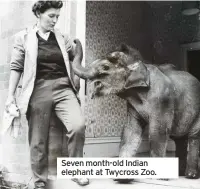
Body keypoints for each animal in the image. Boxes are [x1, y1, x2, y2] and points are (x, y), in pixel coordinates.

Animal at [72, 40, 200, 179]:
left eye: (105, 67)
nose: (74, 41)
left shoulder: (162, 100)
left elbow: (158, 132)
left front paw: (159, 177)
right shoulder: (133, 105)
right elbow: (131, 130)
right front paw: (123, 177)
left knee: (194, 137)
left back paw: (191, 175)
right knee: (180, 140)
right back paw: (180, 173)